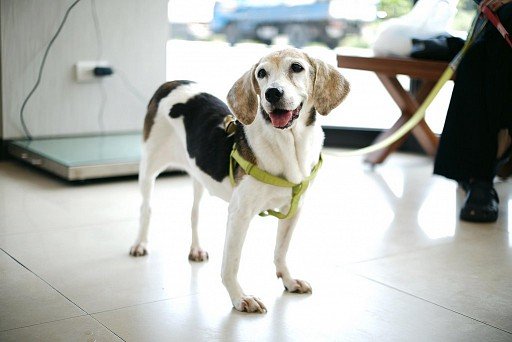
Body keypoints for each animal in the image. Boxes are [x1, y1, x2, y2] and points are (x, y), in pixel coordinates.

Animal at [130, 48, 350, 312]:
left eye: (297, 67)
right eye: (261, 73)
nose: (272, 93)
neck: (288, 143)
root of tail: (171, 83)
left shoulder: (293, 210)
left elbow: (281, 251)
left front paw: (288, 280)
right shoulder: (240, 214)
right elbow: (231, 264)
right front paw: (240, 298)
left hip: (199, 175)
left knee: (194, 213)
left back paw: (196, 249)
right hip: (149, 167)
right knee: (146, 208)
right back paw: (140, 244)